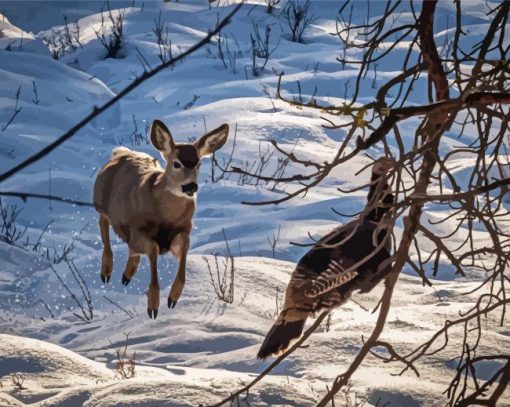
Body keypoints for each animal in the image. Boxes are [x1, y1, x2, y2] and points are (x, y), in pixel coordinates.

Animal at [93, 119, 229, 320]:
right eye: (176, 163)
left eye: (198, 164)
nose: (190, 187)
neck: (165, 217)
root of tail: (120, 152)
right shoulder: (136, 229)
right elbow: (153, 248)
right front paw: (153, 305)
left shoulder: (183, 230)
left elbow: (185, 247)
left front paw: (173, 297)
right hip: (100, 201)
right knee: (103, 223)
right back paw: (106, 271)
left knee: (130, 249)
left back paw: (127, 275)